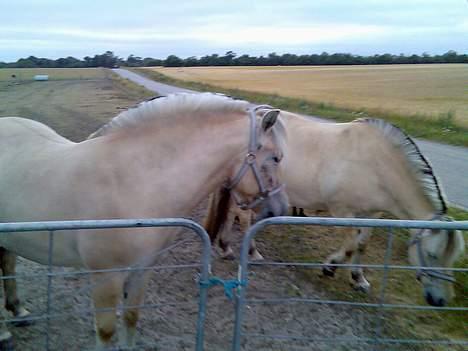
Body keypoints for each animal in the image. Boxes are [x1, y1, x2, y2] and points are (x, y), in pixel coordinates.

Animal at [0, 93, 288, 350]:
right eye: (276, 157)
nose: (280, 209)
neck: (131, 180)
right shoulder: (106, 277)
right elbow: (106, 331)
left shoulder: (142, 269)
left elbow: (131, 317)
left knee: (7, 263)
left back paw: (18, 310)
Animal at [207, 112, 466, 308]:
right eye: (432, 255)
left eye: (452, 257)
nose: (440, 300)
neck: (376, 164)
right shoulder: (343, 210)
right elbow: (351, 245)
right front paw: (330, 266)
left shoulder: (372, 215)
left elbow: (362, 244)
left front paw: (358, 279)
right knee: (243, 217)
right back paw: (250, 251)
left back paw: (226, 246)